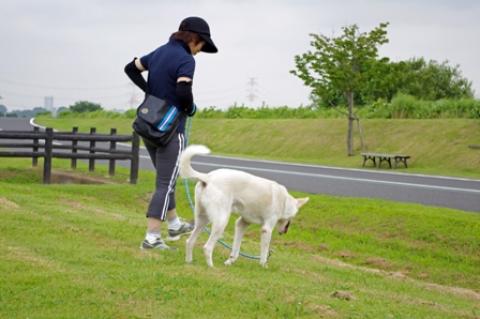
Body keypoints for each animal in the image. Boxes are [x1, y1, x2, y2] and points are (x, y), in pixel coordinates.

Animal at [178, 145, 310, 268]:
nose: (285, 231)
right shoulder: (266, 229)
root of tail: (208, 177)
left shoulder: (241, 224)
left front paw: (229, 262)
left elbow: (236, 249)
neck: (284, 201)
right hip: (221, 222)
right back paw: (211, 267)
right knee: (207, 247)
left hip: (202, 221)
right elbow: (264, 252)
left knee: (189, 241)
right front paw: (264, 266)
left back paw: (189, 262)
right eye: (292, 218)